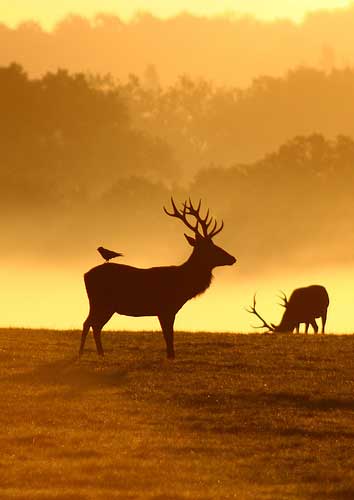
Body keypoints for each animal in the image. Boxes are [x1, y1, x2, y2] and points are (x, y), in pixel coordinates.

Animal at [79, 197, 236, 358]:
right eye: (210, 247)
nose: (233, 258)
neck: (183, 285)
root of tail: (85, 275)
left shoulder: (167, 310)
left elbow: (168, 334)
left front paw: (169, 355)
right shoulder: (165, 308)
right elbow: (168, 335)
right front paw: (171, 356)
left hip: (103, 305)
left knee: (94, 325)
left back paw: (99, 354)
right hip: (101, 302)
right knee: (89, 323)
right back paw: (82, 353)